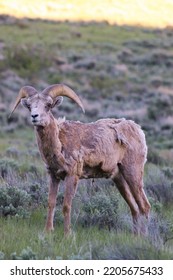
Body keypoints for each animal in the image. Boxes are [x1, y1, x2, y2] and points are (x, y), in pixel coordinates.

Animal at [10, 84, 150, 235]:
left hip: (133, 174)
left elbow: (66, 205)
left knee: (144, 206)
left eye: (48, 105)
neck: (59, 142)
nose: (34, 116)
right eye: (30, 106)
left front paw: (67, 234)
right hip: (119, 179)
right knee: (134, 208)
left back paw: (144, 237)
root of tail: (138, 130)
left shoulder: (72, 175)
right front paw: (48, 231)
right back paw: (135, 236)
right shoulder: (53, 176)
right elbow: (51, 203)